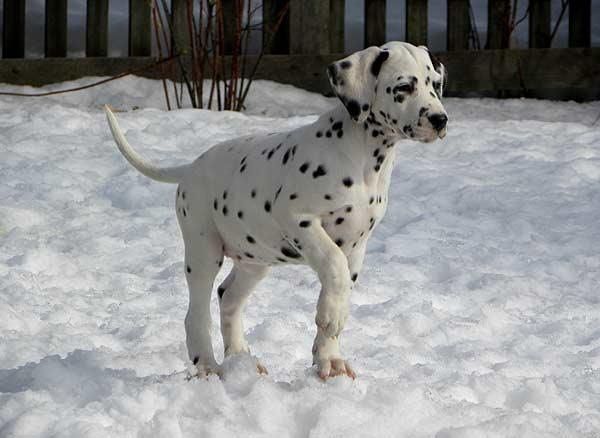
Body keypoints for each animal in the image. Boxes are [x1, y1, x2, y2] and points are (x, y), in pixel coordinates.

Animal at [105, 40, 448, 380]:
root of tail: (190, 168)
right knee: (196, 313)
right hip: (203, 252)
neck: (363, 156)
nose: (440, 119)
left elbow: (340, 283)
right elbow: (333, 264)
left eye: (435, 84)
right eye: (403, 87)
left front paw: (329, 357)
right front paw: (331, 316)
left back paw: (240, 359)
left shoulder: (356, 245)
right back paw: (206, 367)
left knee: (228, 297)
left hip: (254, 261)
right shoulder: (299, 220)